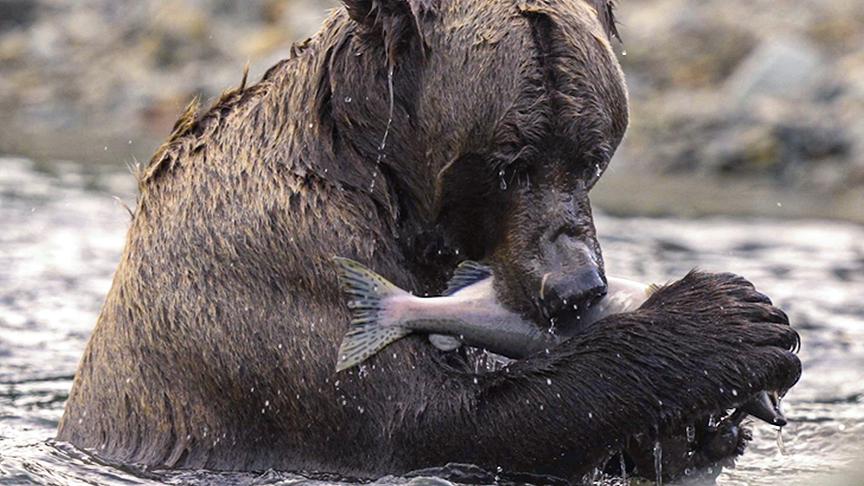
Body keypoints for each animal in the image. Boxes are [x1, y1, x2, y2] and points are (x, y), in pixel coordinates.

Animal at [57, 0, 801, 482]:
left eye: (593, 156)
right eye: (508, 162)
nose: (574, 289)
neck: (383, 183)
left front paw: (706, 427)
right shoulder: (280, 269)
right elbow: (440, 423)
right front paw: (733, 323)